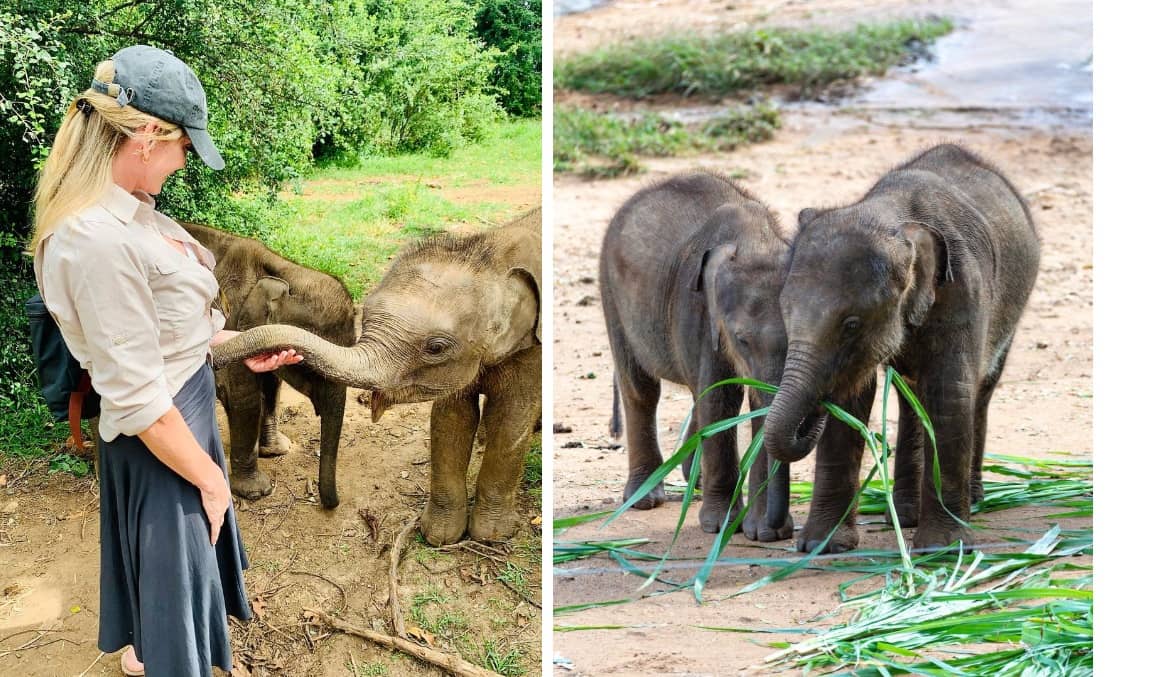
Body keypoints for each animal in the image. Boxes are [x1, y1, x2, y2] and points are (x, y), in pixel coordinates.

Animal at [181, 222, 356, 507]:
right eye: (313, 365)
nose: (332, 504)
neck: (282, 270)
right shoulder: (233, 320)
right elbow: (244, 398)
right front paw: (256, 492)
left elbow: (272, 386)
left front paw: (276, 451)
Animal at [210, 208, 542, 546]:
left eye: (436, 347)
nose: (331, 505)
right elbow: (452, 417)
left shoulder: (532, 347)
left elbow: (509, 417)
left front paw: (490, 537)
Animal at [600, 172, 794, 541]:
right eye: (741, 340)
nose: (778, 529)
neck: (756, 240)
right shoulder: (701, 314)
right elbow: (720, 400)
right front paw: (721, 527)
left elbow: (752, 407)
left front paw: (764, 534)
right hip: (612, 295)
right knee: (641, 390)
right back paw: (644, 498)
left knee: (693, 393)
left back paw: (696, 480)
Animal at [763, 143, 1040, 553]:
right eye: (784, 311)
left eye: (851, 325)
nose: (811, 413)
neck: (893, 216)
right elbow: (853, 401)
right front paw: (821, 547)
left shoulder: (963, 290)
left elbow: (949, 393)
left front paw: (941, 550)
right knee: (909, 396)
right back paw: (906, 514)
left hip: (1013, 306)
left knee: (980, 388)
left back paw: (972, 503)